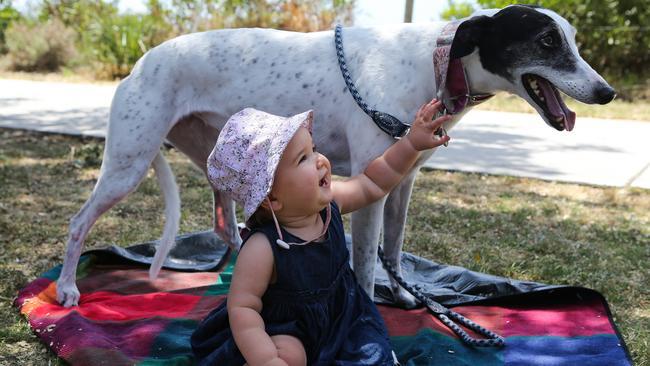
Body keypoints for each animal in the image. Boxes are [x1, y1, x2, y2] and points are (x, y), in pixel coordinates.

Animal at [55, 4, 612, 308]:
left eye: (573, 40)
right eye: (547, 40)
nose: (606, 93)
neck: (435, 63)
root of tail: (139, 62)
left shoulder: (403, 183)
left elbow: (394, 250)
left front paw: (406, 296)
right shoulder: (373, 185)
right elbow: (365, 263)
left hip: (215, 159)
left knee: (225, 225)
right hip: (127, 164)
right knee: (79, 222)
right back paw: (66, 289)